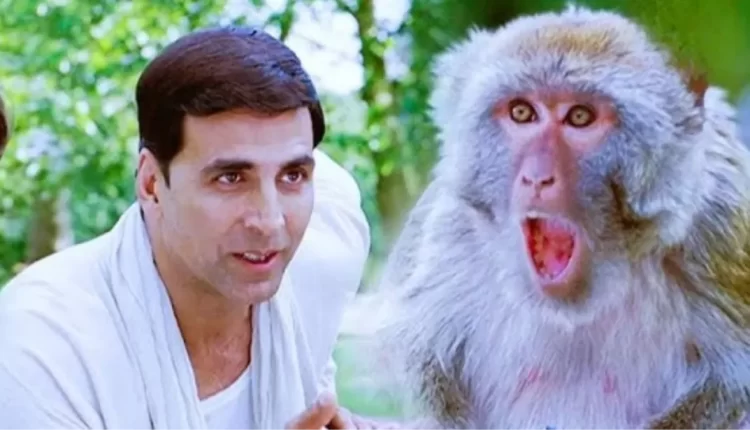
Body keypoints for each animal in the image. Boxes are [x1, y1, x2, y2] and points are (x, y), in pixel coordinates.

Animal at [373, 5, 750, 430]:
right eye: (522, 112)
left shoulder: (720, 223)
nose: (537, 176)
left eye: (580, 117)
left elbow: (731, 386)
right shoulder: (450, 226)